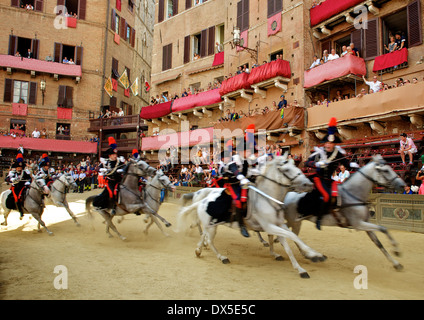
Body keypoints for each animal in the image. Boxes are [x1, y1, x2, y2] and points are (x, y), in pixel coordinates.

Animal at [176, 155, 328, 278]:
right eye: (286, 169)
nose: (308, 184)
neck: (267, 198)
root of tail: (202, 200)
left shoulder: (279, 225)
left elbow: (289, 244)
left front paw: (303, 266)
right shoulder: (270, 226)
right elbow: (292, 237)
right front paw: (313, 255)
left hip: (211, 225)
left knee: (204, 236)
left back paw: (198, 250)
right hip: (212, 227)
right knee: (210, 241)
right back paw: (221, 257)